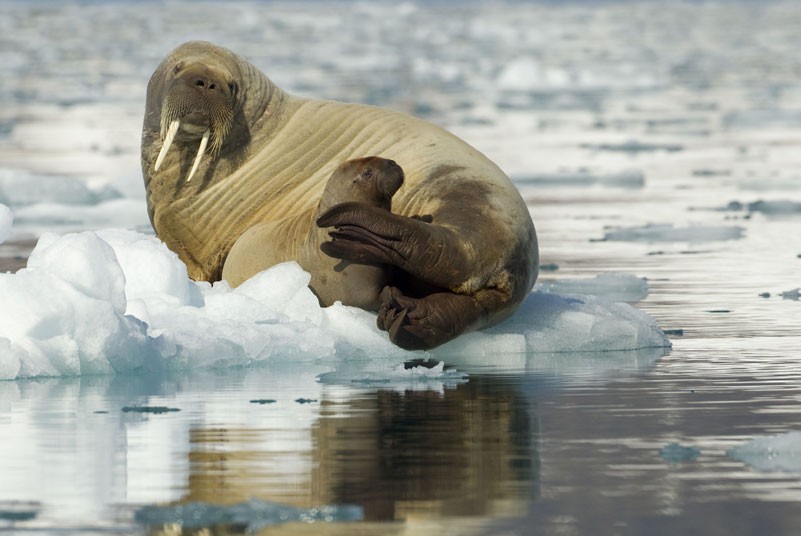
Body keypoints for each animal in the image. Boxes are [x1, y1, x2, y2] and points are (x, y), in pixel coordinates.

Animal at [141, 42, 540, 352]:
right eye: (177, 68)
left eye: (232, 85)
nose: (206, 81)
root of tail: (514, 268)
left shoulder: (192, 248)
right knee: (468, 299)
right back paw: (409, 317)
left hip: (468, 196)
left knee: (444, 247)